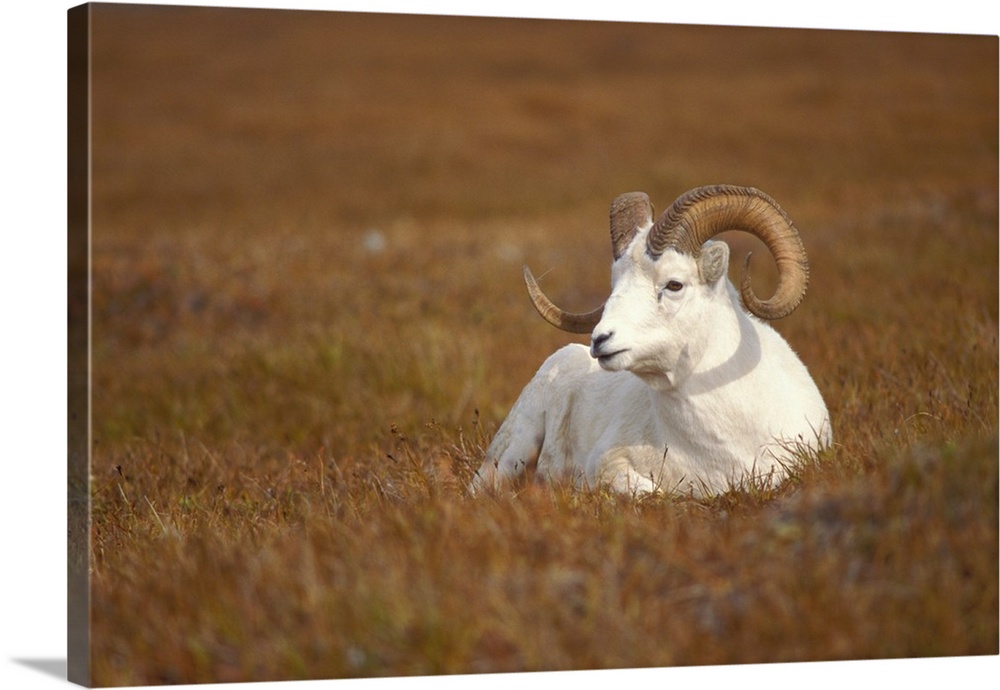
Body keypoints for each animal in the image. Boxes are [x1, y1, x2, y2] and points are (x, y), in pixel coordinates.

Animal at [472, 183, 832, 494]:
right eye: (615, 283)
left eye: (674, 284)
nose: (601, 340)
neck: (723, 447)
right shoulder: (609, 466)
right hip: (508, 456)